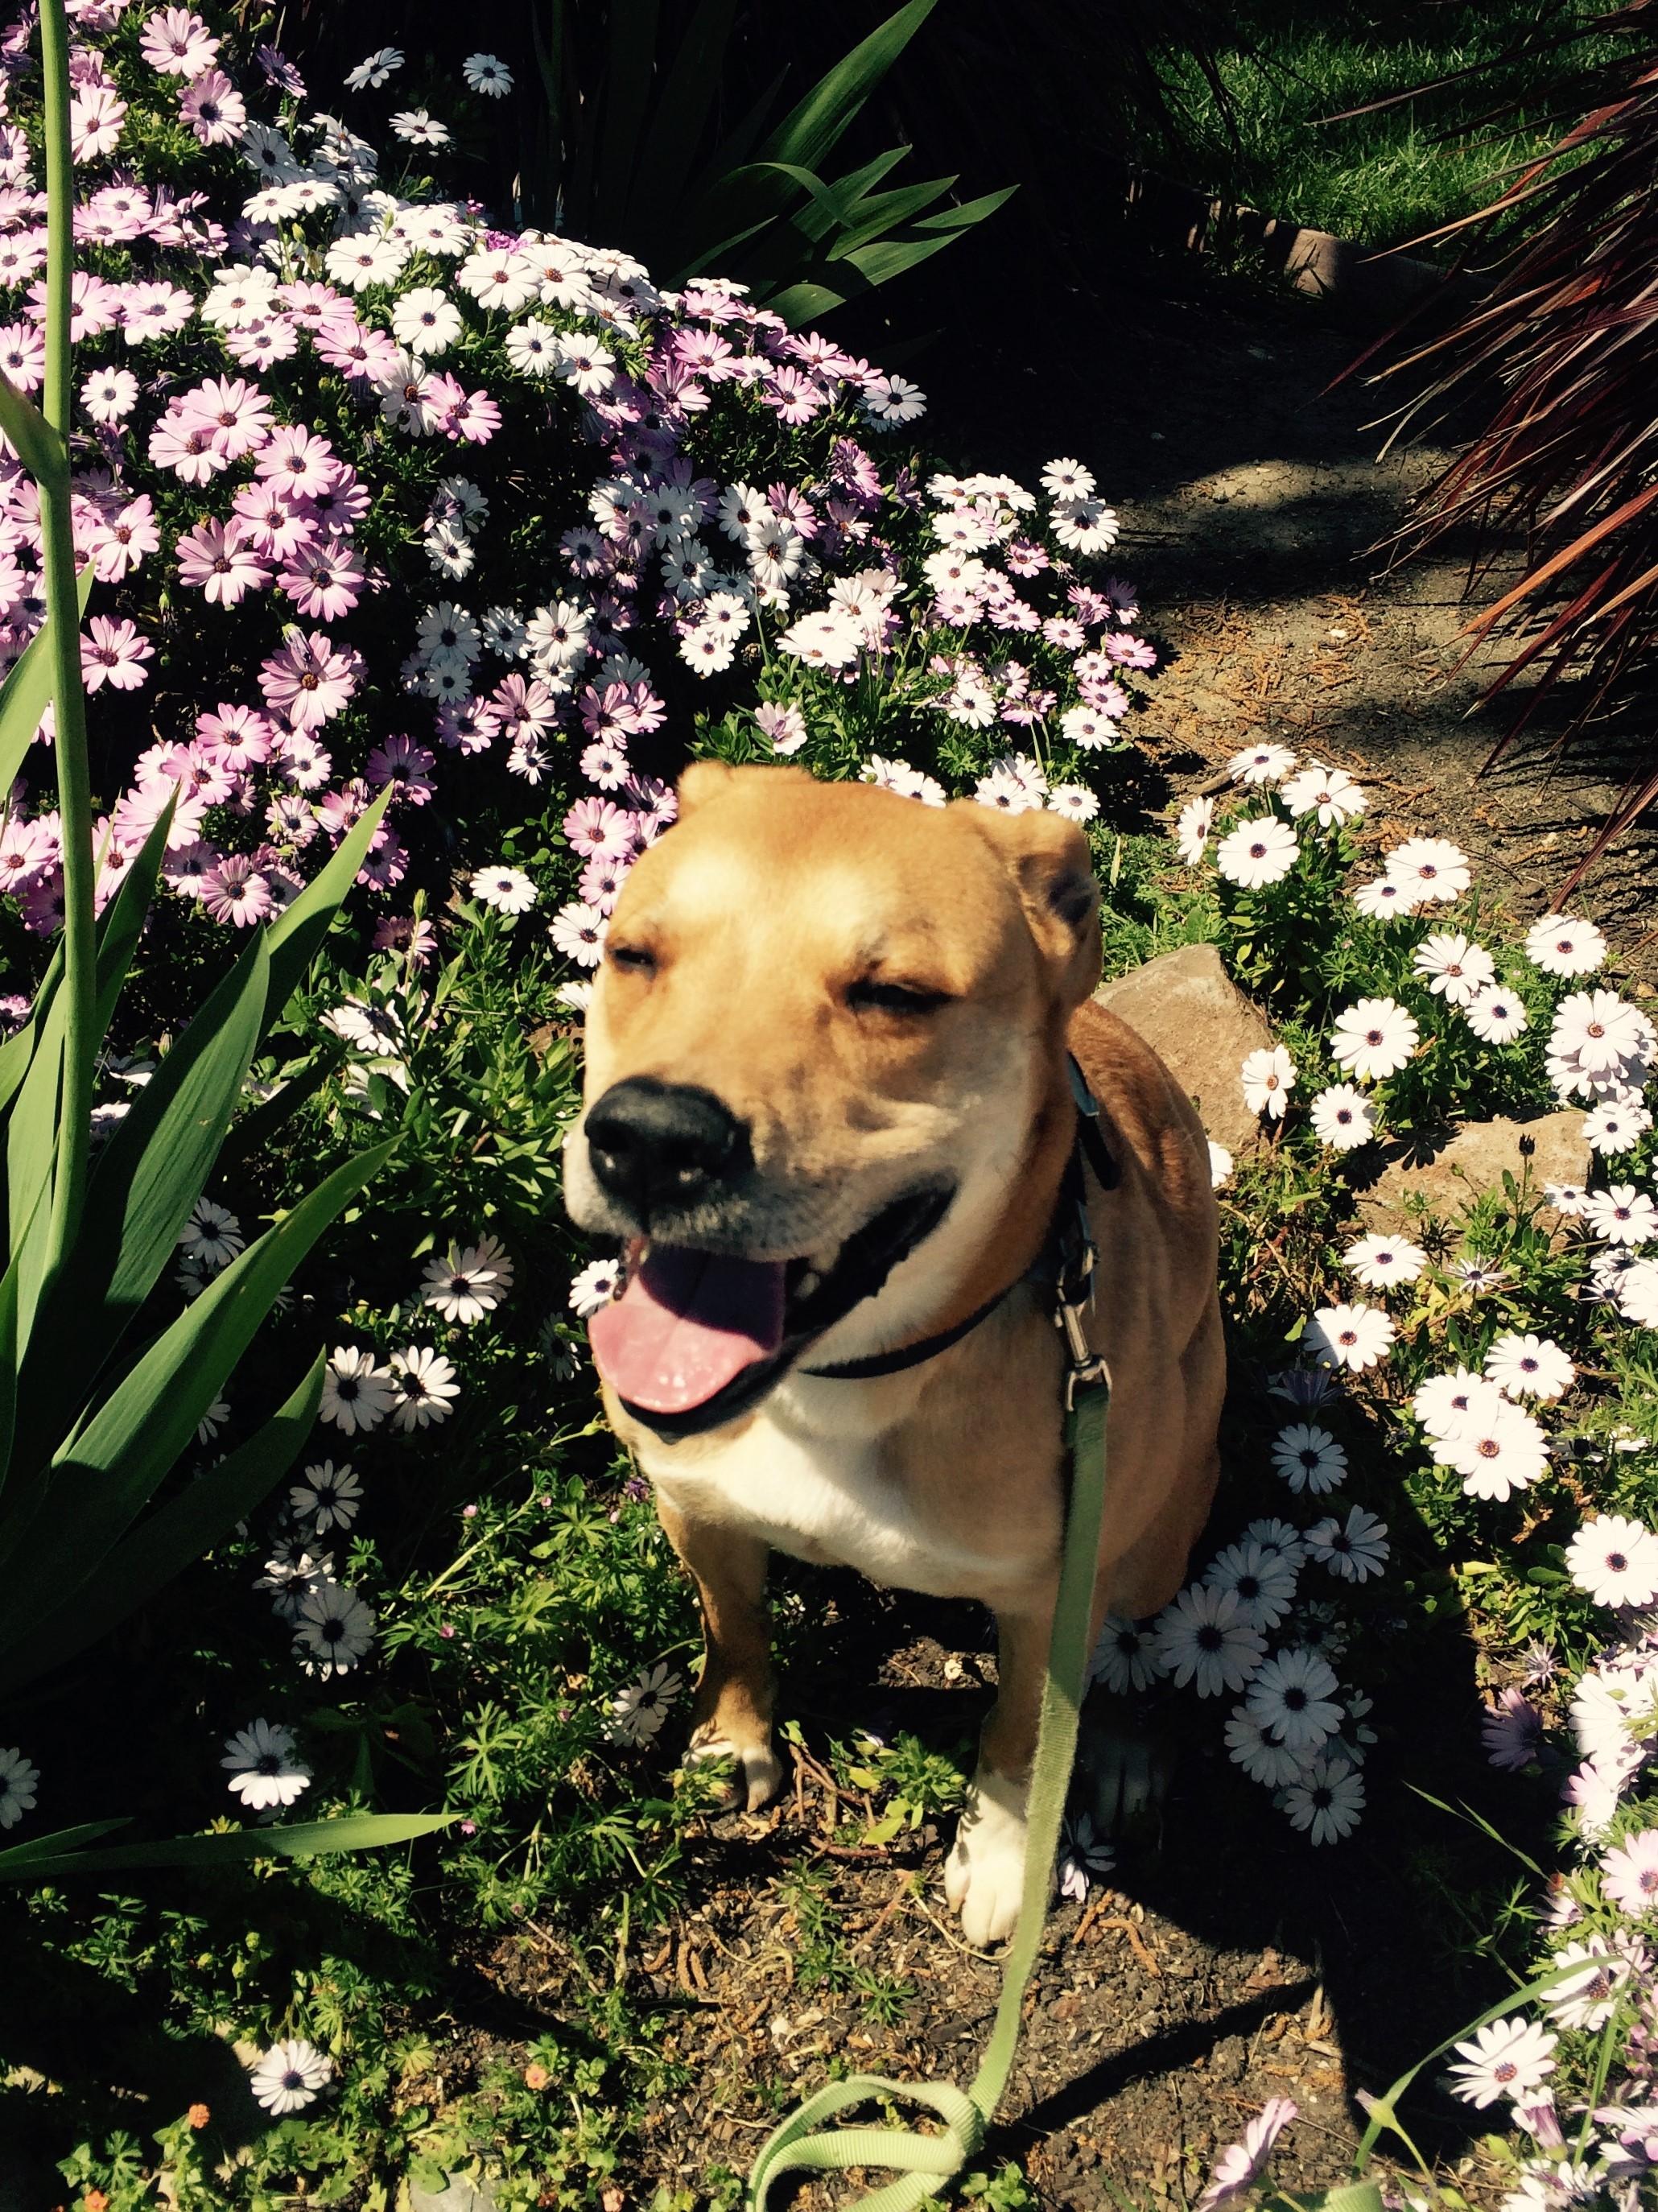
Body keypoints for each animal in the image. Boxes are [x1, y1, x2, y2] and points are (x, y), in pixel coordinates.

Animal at [566, 761, 1229, 1938]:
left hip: (1174, 1479)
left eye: (895, 996)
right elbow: (735, 1630)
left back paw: (1122, 1752)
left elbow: (1020, 1736)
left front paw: (1005, 1854)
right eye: (634, 954)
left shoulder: (1048, 1600)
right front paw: (730, 1739)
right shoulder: (697, 1508)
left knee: (1148, 1635)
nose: (648, 1140)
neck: (845, 1384)